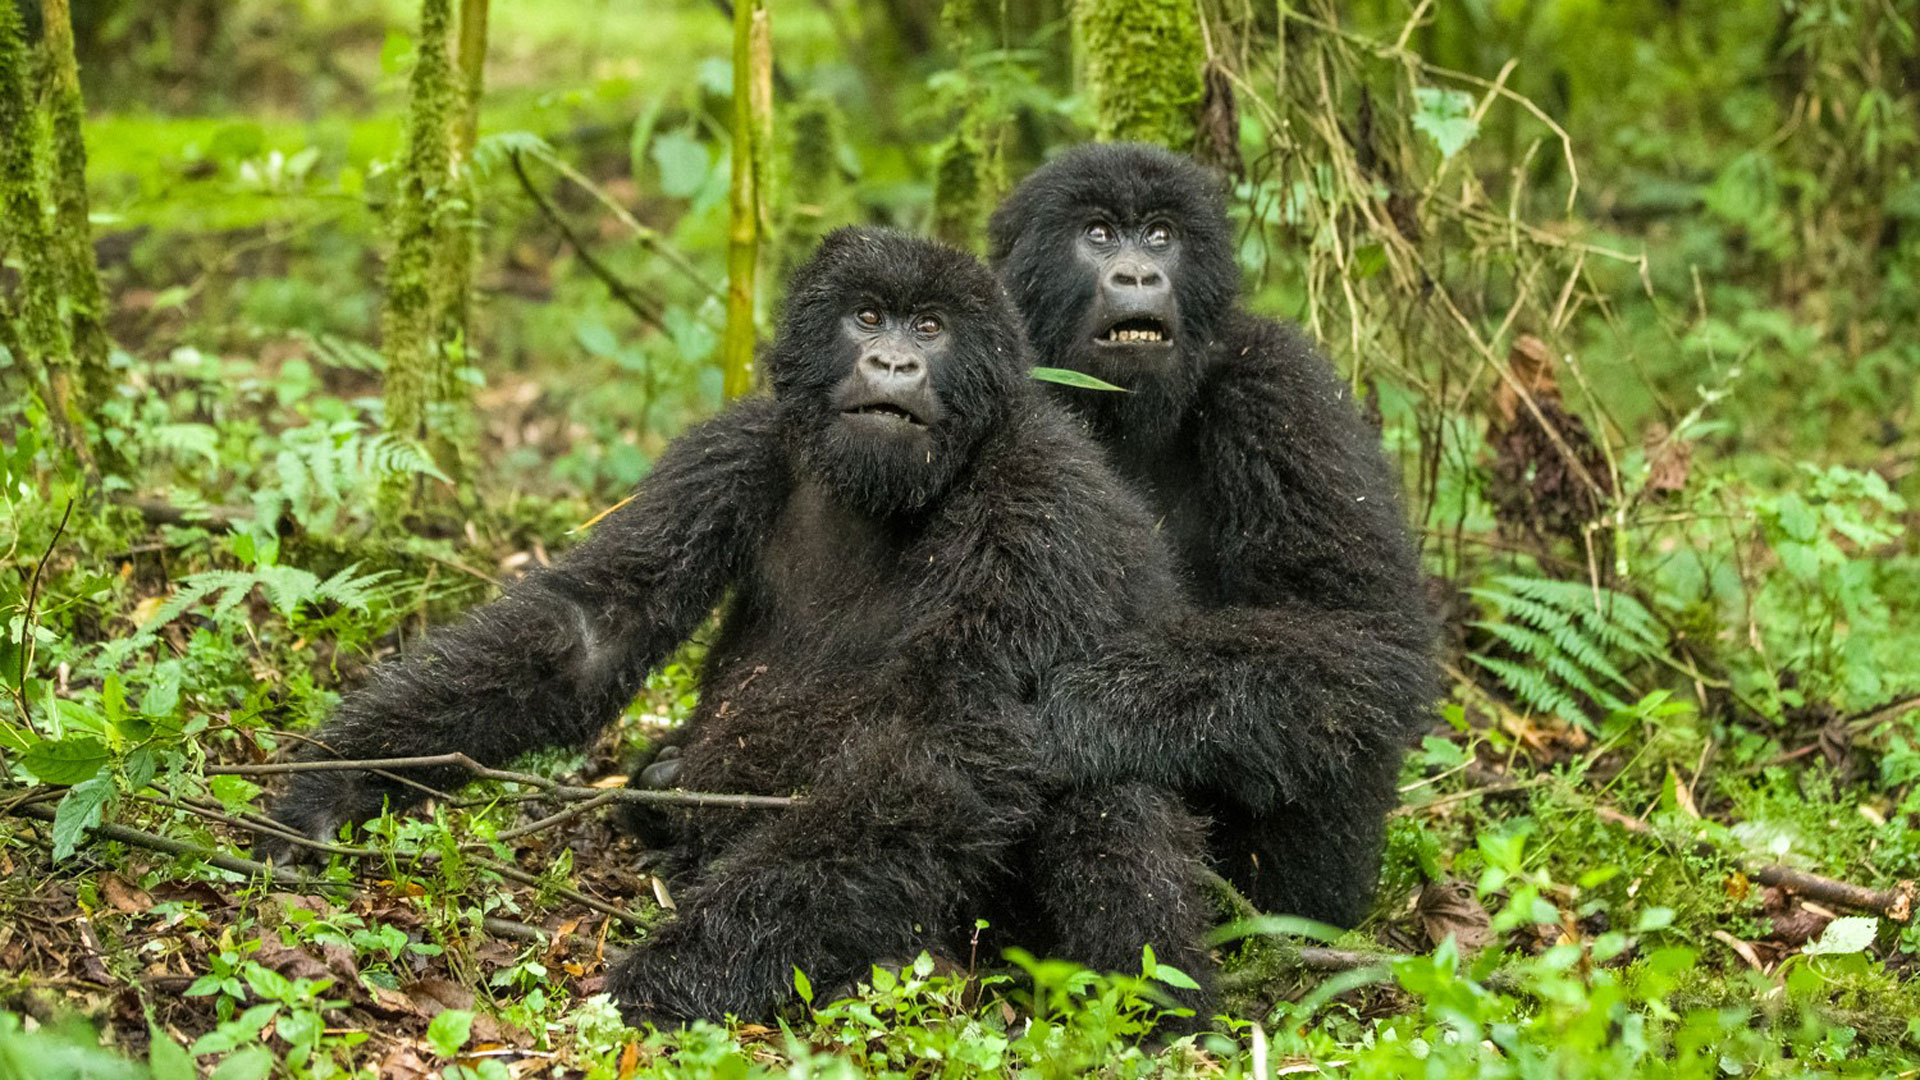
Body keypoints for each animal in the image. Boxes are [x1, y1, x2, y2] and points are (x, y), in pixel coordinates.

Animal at [266, 224, 1213, 1014]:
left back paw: (1154, 1011)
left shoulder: (1040, 509)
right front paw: (337, 780)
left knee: (1100, 775)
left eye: (931, 328)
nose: (894, 365)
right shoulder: (731, 449)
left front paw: (679, 972)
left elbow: (941, 742)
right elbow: (592, 627)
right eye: (868, 317)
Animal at [983, 143, 1436, 926]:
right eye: (1098, 234)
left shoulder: (1280, 382)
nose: (1139, 274)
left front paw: (1083, 712)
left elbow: (1361, 628)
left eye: (1161, 236)